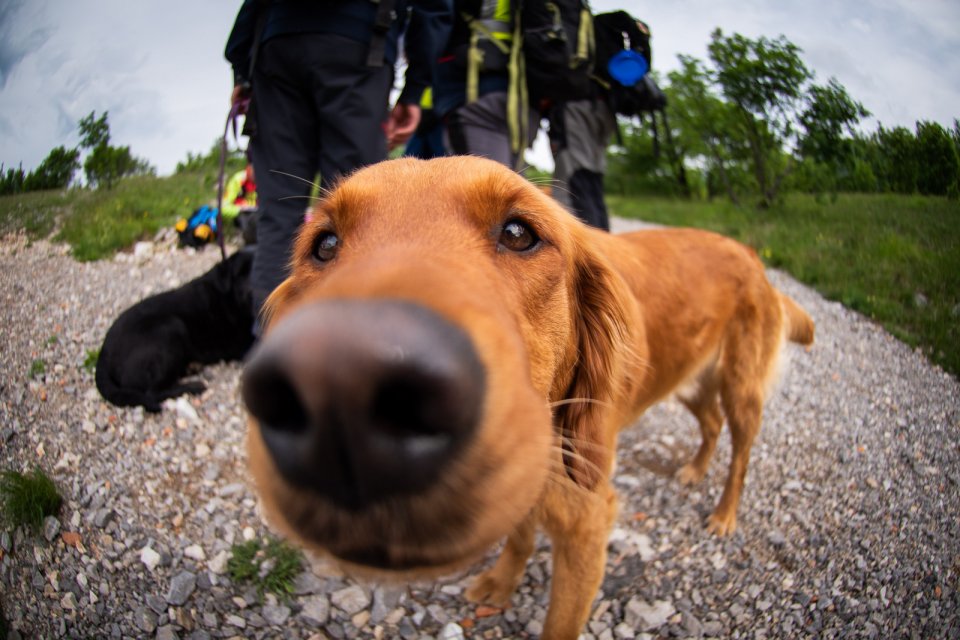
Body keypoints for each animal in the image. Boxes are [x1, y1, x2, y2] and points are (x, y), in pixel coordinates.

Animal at [96, 249, 255, 413]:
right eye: (240, 274)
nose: (251, 293)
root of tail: (103, 353)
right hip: (171, 326)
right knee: (152, 392)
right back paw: (192, 386)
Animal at [240, 157, 814, 639]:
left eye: (519, 233)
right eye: (324, 244)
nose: (338, 388)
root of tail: (752, 257)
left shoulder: (588, 520)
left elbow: (560, 621)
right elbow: (517, 533)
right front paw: (502, 580)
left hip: (740, 387)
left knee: (740, 451)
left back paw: (724, 514)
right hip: (686, 380)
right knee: (711, 424)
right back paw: (695, 470)